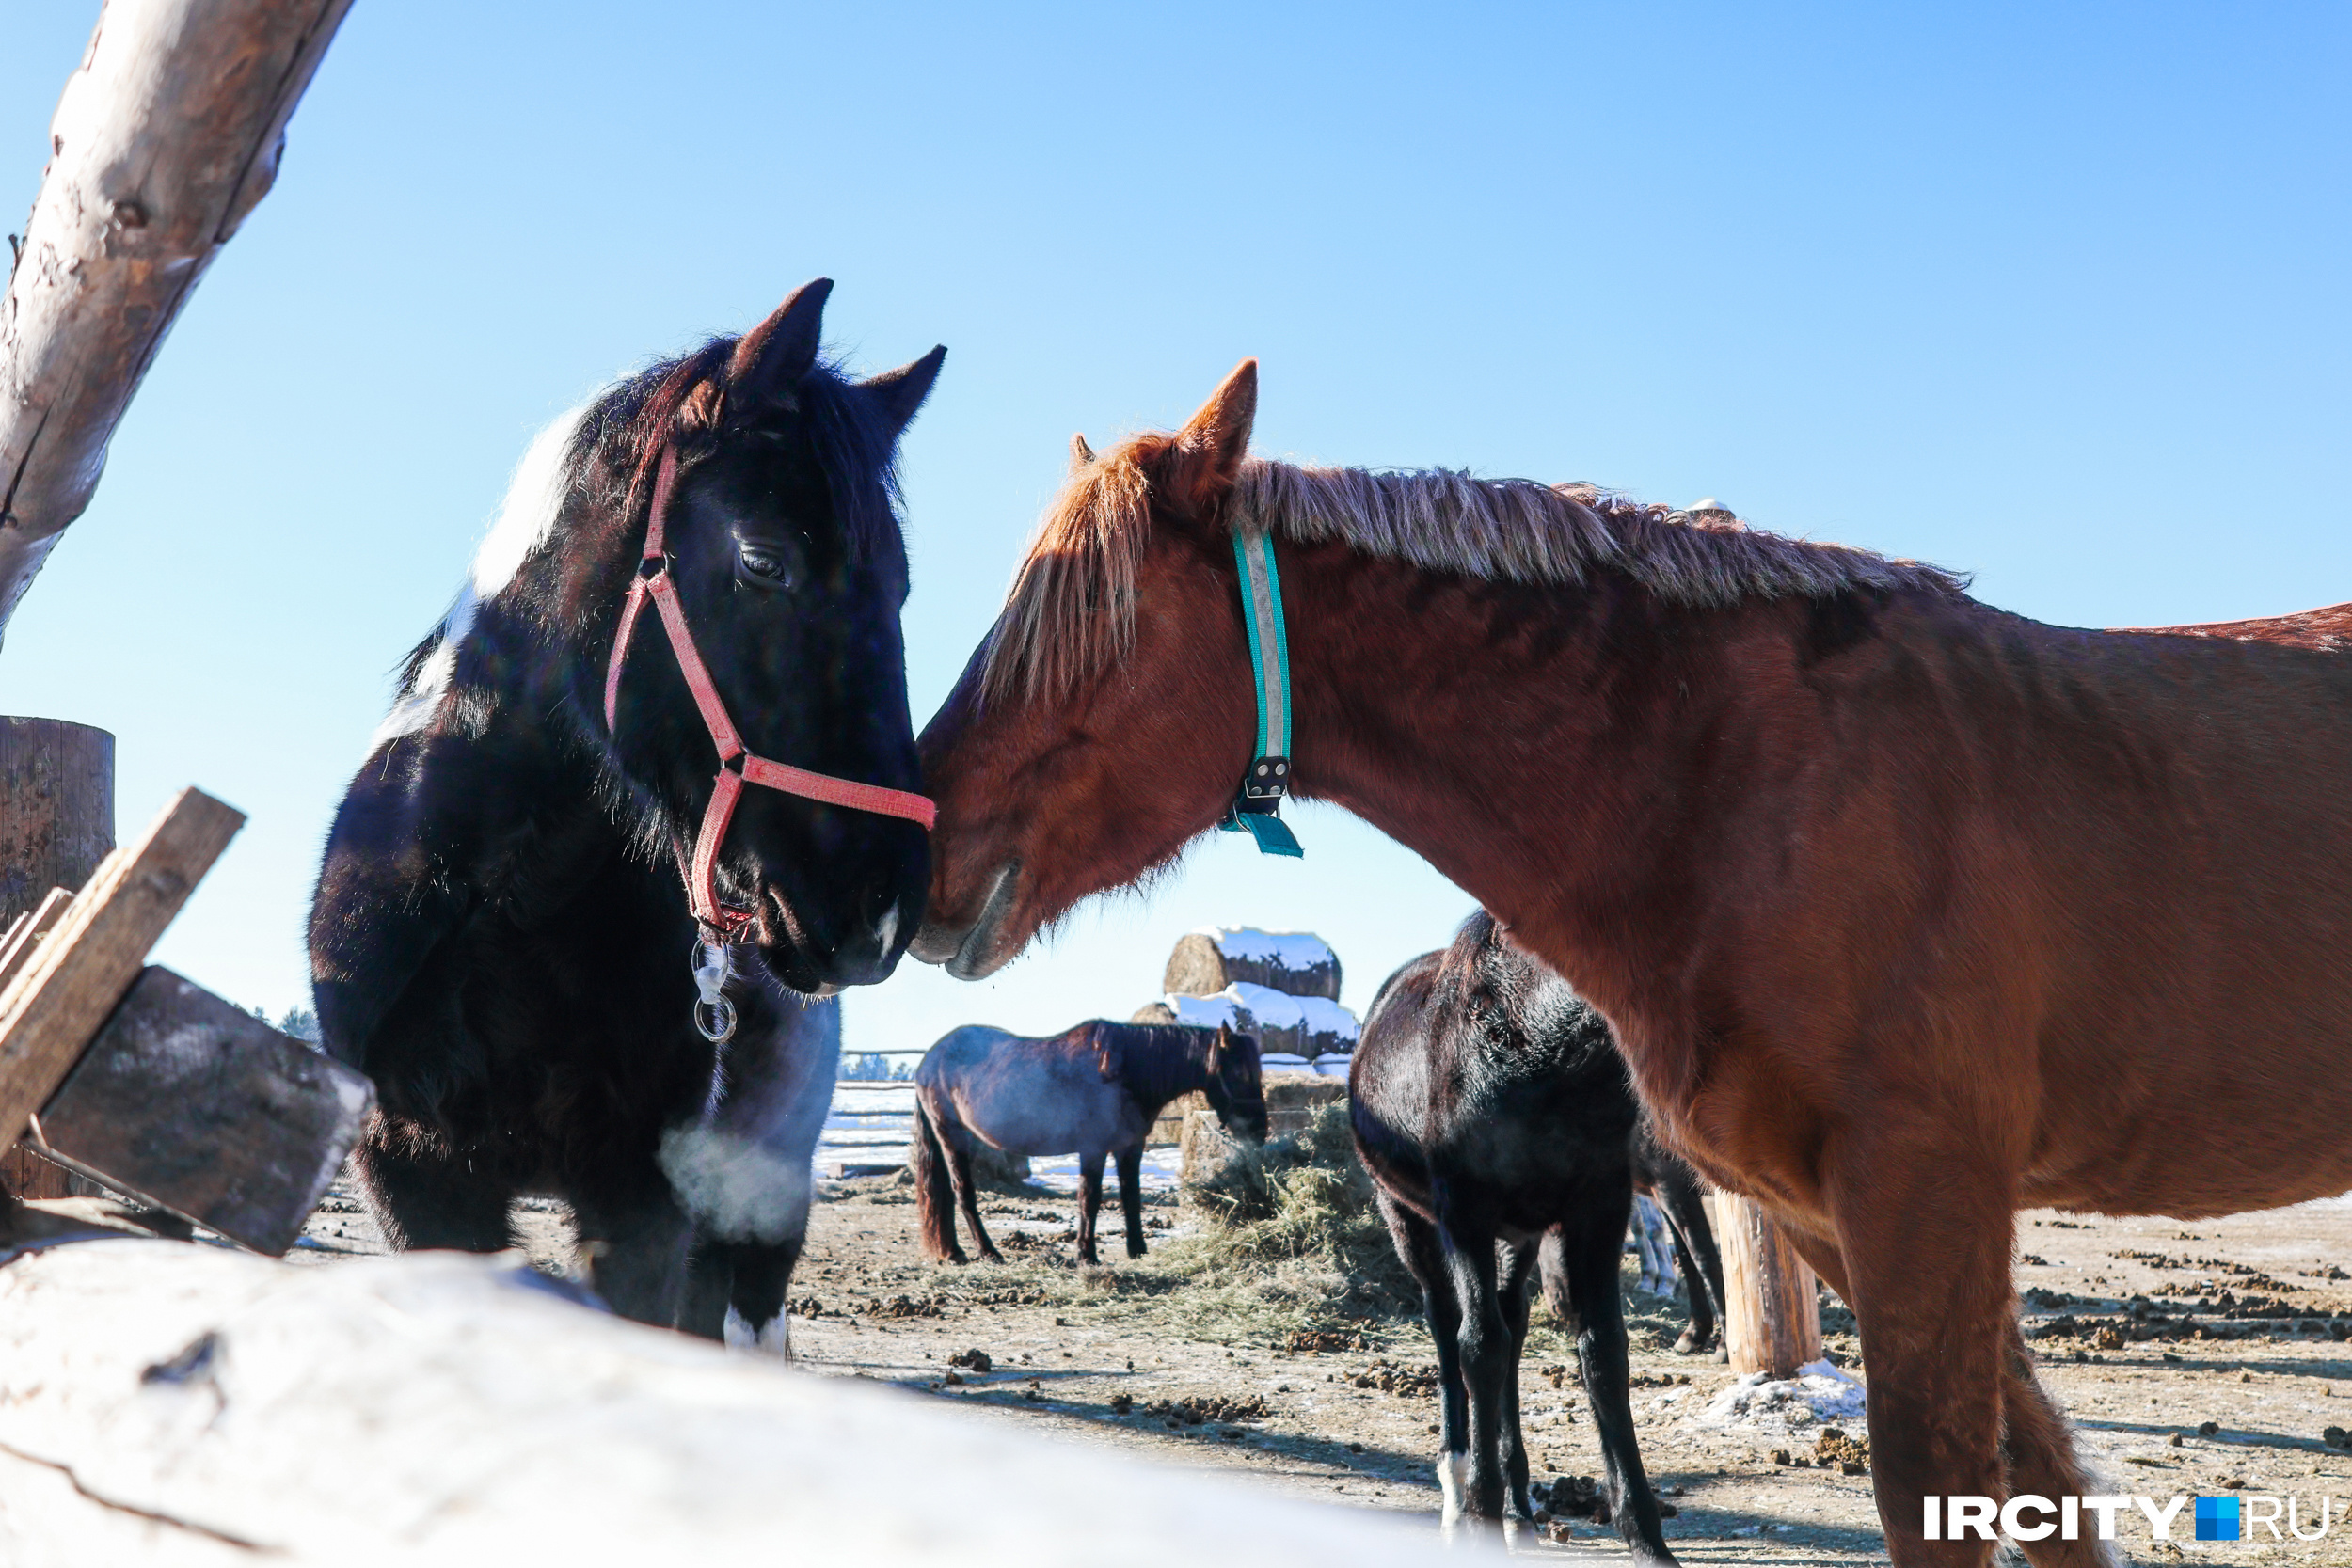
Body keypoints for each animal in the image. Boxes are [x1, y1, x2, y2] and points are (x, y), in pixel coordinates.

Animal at [308, 281, 941, 1335]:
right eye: (763, 561)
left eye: (900, 588)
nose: (877, 908)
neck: (504, 901)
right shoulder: (413, 1176)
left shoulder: (643, 1195)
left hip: (758, 1204)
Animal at [908, 1024, 1270, 1269]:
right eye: (1239, 1070)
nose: (1259, 1129)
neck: (1122, 1070)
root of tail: (929, 1061)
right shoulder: (1093, 1150)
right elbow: (1090, 1200)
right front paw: (1086, 1255)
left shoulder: (1130, 1147)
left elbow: (1131, 1198)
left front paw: (1137, 1250)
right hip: (952, 1136)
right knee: (963, 1193)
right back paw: (985, 1252)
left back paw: (955, 1251)